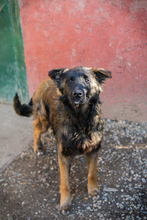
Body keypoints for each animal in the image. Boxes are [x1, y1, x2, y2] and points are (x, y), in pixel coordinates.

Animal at [13, 66, 111, 210]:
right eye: (70, 80)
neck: (79, 119)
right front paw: (65, 202)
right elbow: (65, 183)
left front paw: (92, 190)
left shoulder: (93, 149)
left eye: (87, 79)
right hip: (44, 121)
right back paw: (38, 148)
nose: (77, 94)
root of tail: (45, 80)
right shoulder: (63, 155)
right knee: (36, 129)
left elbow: (92, 173)